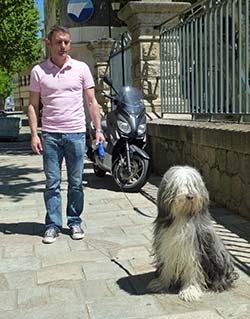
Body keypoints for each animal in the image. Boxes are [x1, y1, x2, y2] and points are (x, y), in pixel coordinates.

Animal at [148, 166, 238, 304]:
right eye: (179, 186)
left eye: (193, 185)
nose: (190, 196)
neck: (183, 216)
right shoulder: (167, 245)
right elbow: (168, 264)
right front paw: (161, 283)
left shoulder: (194, 249)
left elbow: (192, 269)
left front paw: (190, 291)